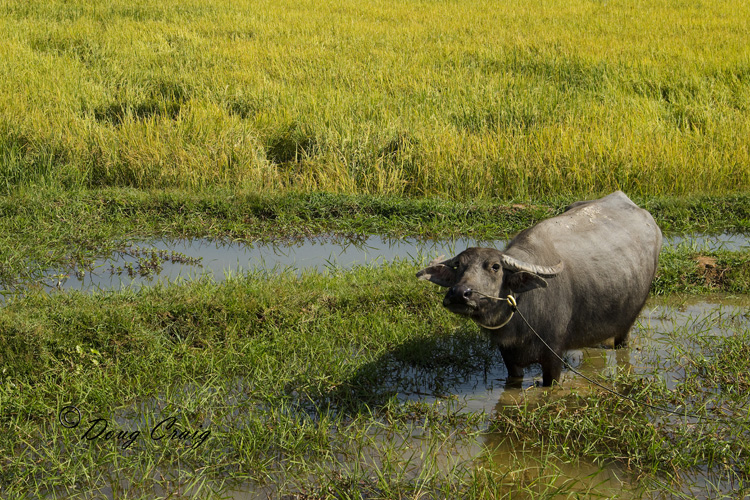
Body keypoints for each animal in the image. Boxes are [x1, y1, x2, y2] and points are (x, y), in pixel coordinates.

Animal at [417, 191, 662, 386]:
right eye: (459, 265)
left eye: (495, 267)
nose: (460, 293)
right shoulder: (509, 357)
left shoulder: (553, 357)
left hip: (627, 323)